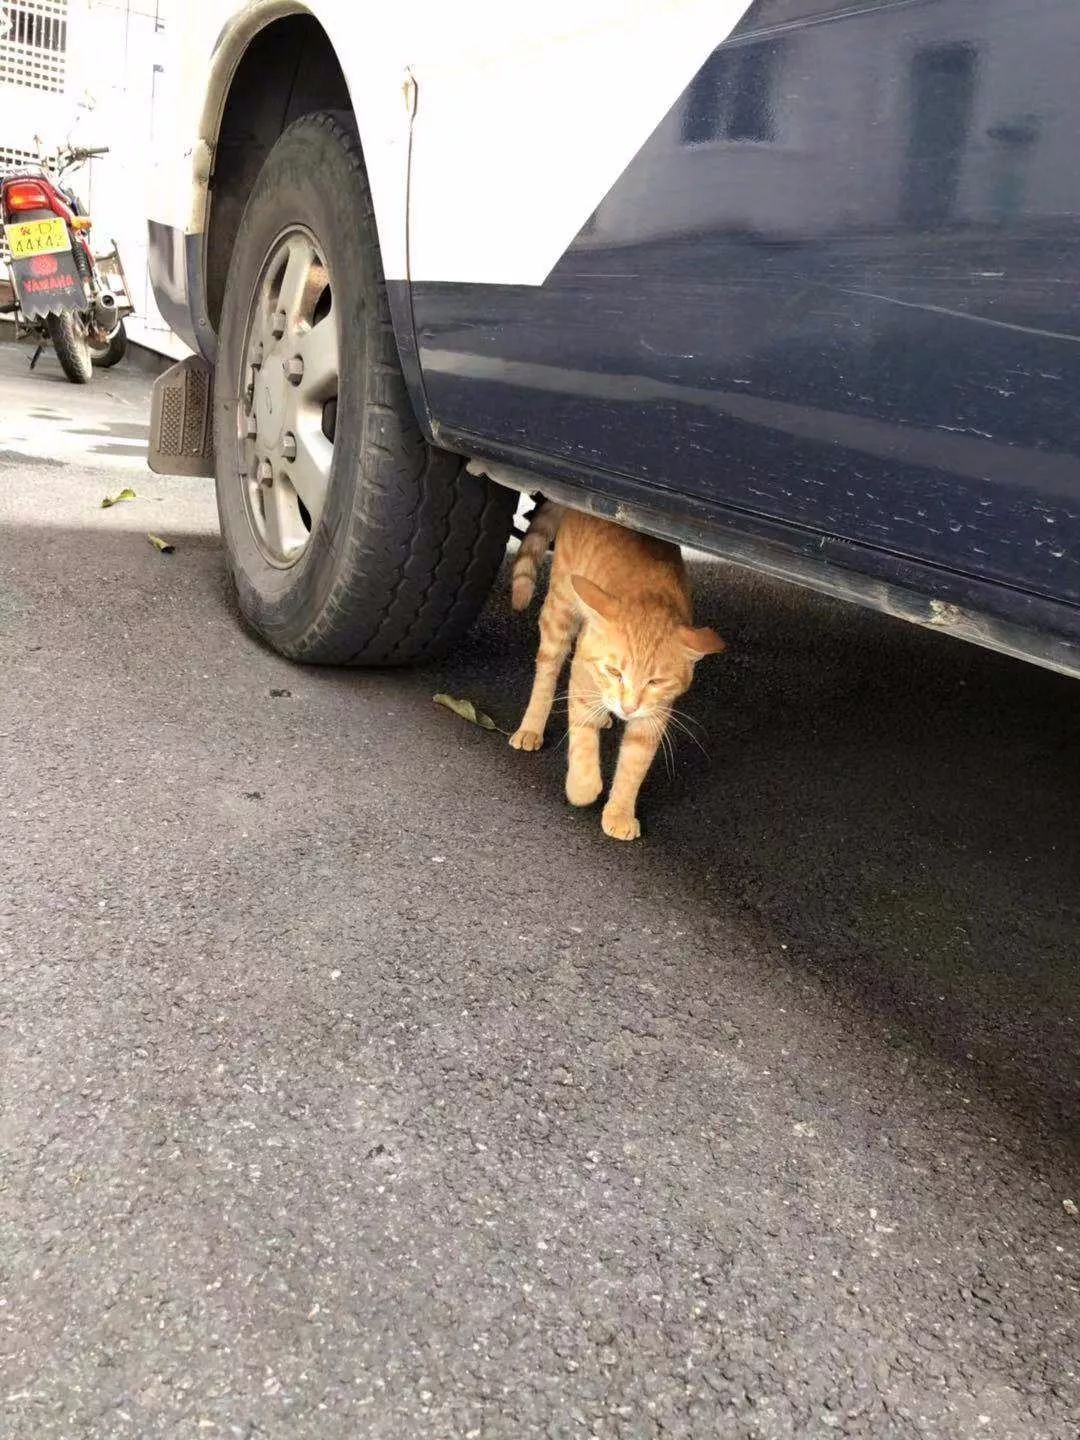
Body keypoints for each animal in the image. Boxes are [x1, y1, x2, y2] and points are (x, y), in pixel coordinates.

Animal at [506, 506, 728, 840]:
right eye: (613, 671)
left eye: (655, 681)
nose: (628, 707)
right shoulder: (583, 673)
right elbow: (583, 737)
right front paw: (583, 787)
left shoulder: (655, 713)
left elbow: (634, 764)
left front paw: (620, 812)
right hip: (560, 611)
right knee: (547, 669)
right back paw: (532, 727)